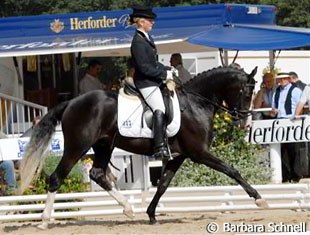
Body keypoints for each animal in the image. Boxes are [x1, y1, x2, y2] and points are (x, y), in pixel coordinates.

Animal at [20, 64, 266, 228]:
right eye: (246, 92)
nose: (244, 121)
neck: (195, 104)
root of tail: (71, 102)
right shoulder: (199, 153)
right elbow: (232, 170)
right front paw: (258, 198)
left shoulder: (179, 156)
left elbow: (163, 184)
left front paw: (151, 215)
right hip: (76, 147)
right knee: (57, 177)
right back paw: (44, 221)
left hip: (104, 145)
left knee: (98, 174)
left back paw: (128, 209)